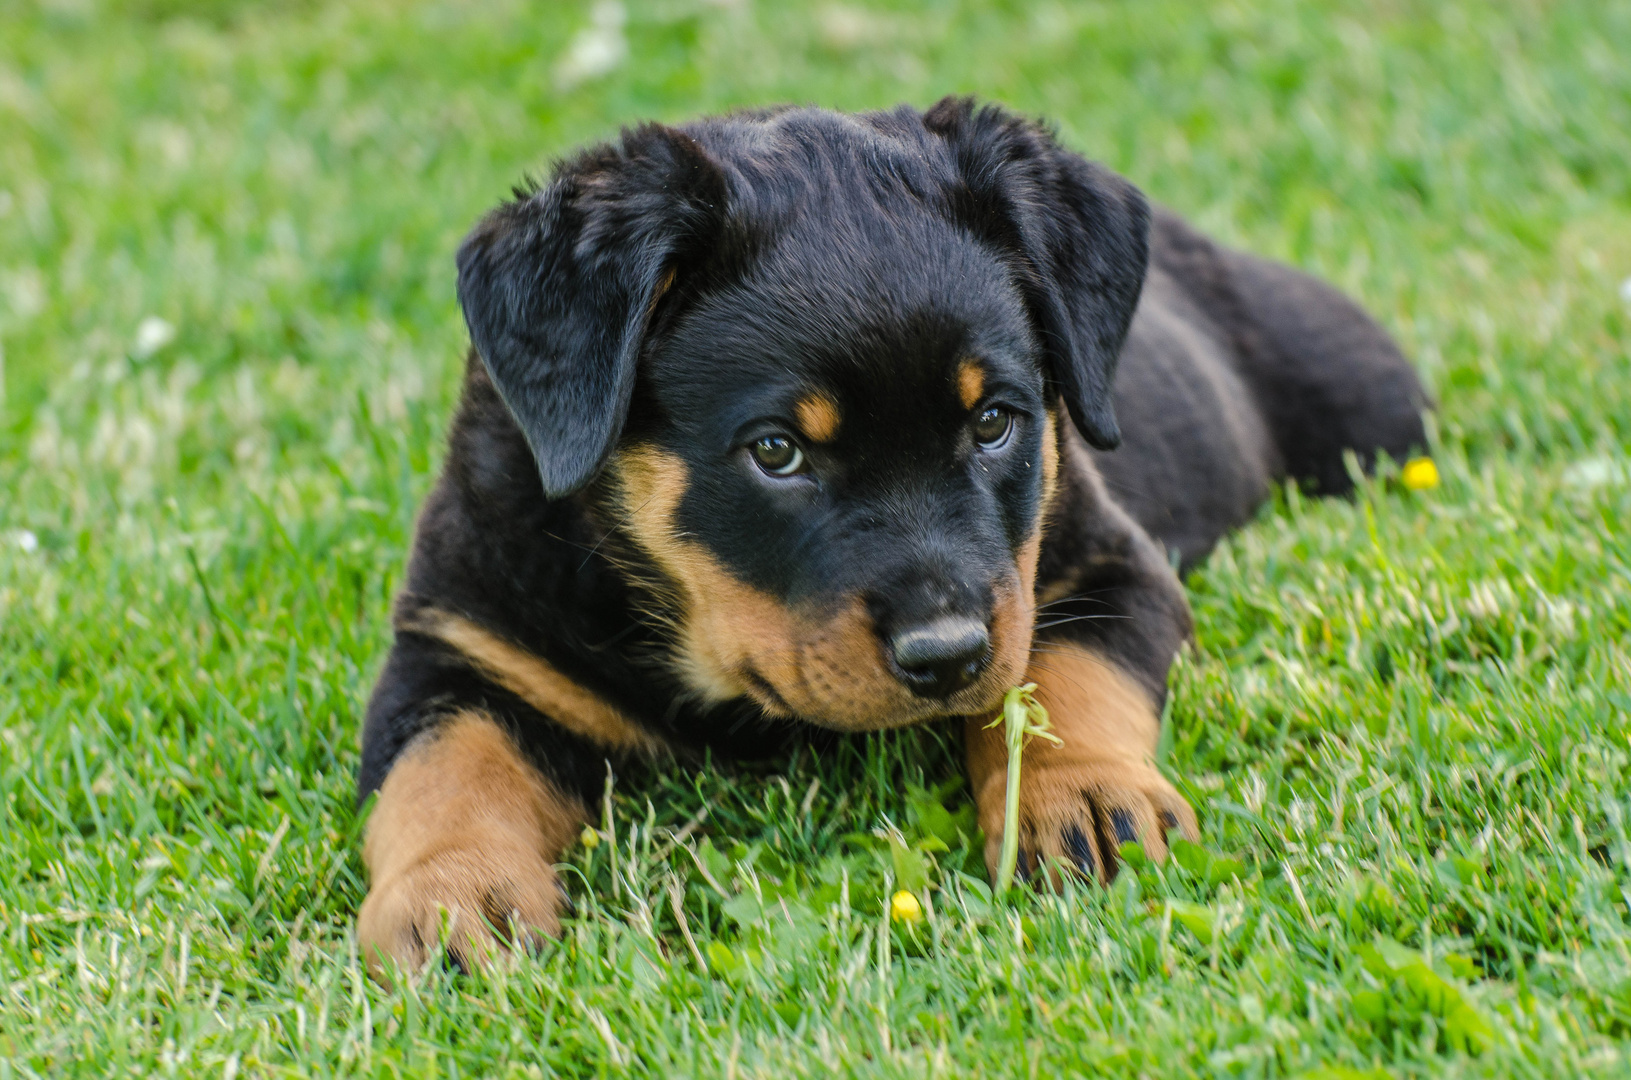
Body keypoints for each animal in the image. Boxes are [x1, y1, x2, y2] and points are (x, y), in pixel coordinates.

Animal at [357, 99, 1428, 978]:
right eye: (776, 451)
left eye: (993, 422)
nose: (946, 655)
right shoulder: (462, 645)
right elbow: (444, 772)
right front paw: (451, 896)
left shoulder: (1108, 568)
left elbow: (1064, 679)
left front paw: (1081, 798)